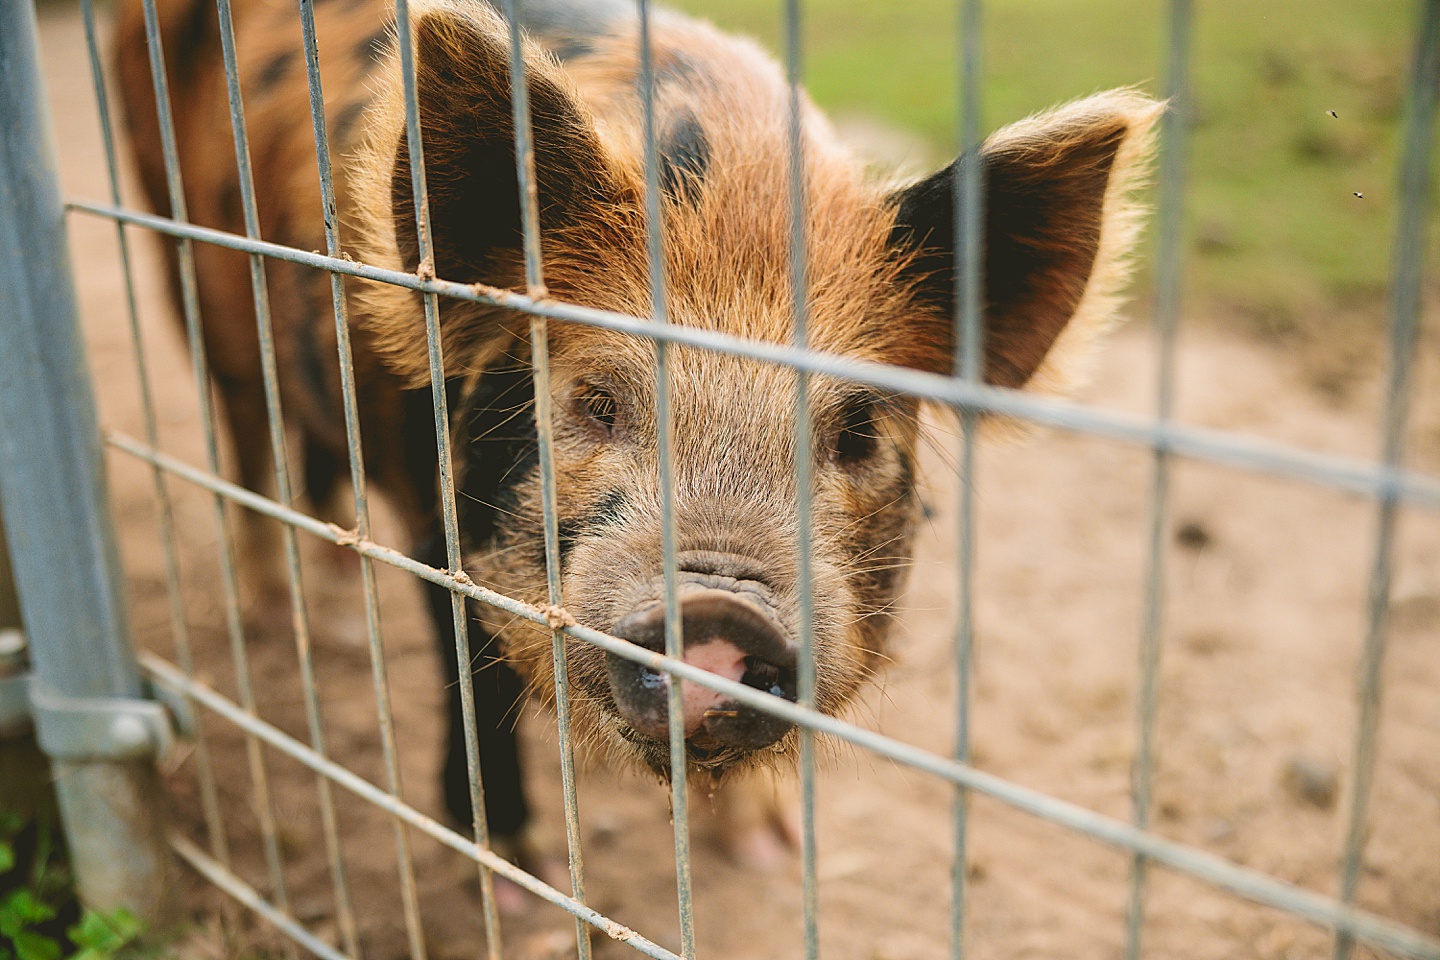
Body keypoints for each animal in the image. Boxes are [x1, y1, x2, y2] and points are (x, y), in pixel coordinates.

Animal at [115, 0, 1157, 875]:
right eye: (596, 401)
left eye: (858, 430)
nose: (719, 611)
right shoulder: (435, 519)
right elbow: (473, 685)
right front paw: (519, 869)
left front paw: (770, 852)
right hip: (180, 261)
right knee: (244, 431)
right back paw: (287, 619)